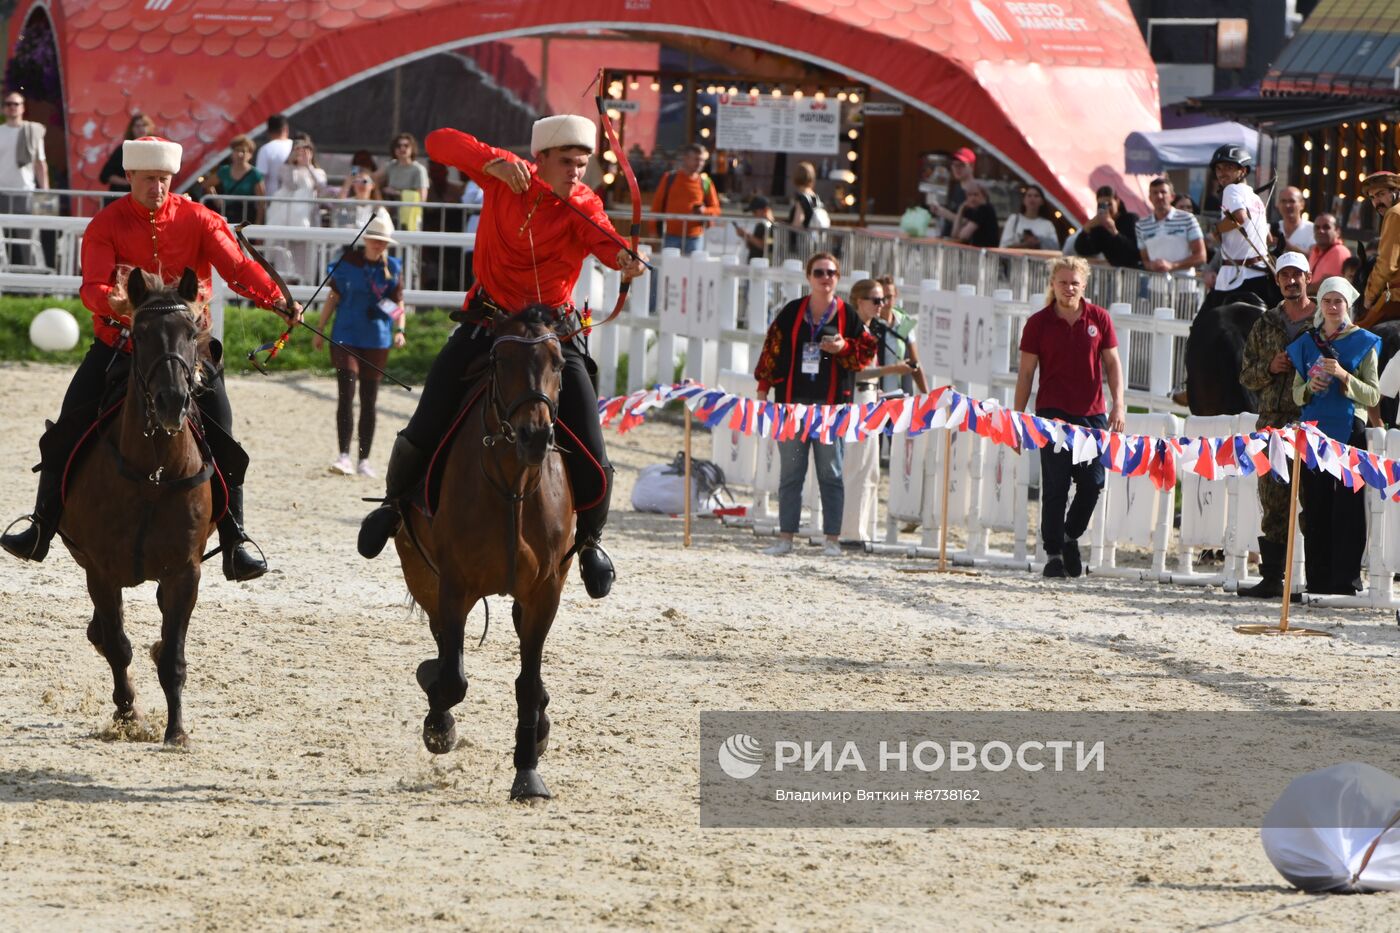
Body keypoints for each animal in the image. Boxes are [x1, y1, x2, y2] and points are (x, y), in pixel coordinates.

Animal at [61, 267, 217, 739]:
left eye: (191, 332)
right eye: (141, 333)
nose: (172, 400)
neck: (154, 474)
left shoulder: (186, 572)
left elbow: (173, 658)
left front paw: (176, 731)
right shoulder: (100, 570)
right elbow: (117, 646)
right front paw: (127, 712)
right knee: (105, 634)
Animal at [394, 306, 574, 801]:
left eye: (559, 363)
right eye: (502, 361)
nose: (535, 435)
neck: (513, 487)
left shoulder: (544, 593)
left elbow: (528, 684)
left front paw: (527, 773)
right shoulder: (454, 585)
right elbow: (453, 678)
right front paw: (439, 726)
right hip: (423, 574)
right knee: (442, 645)